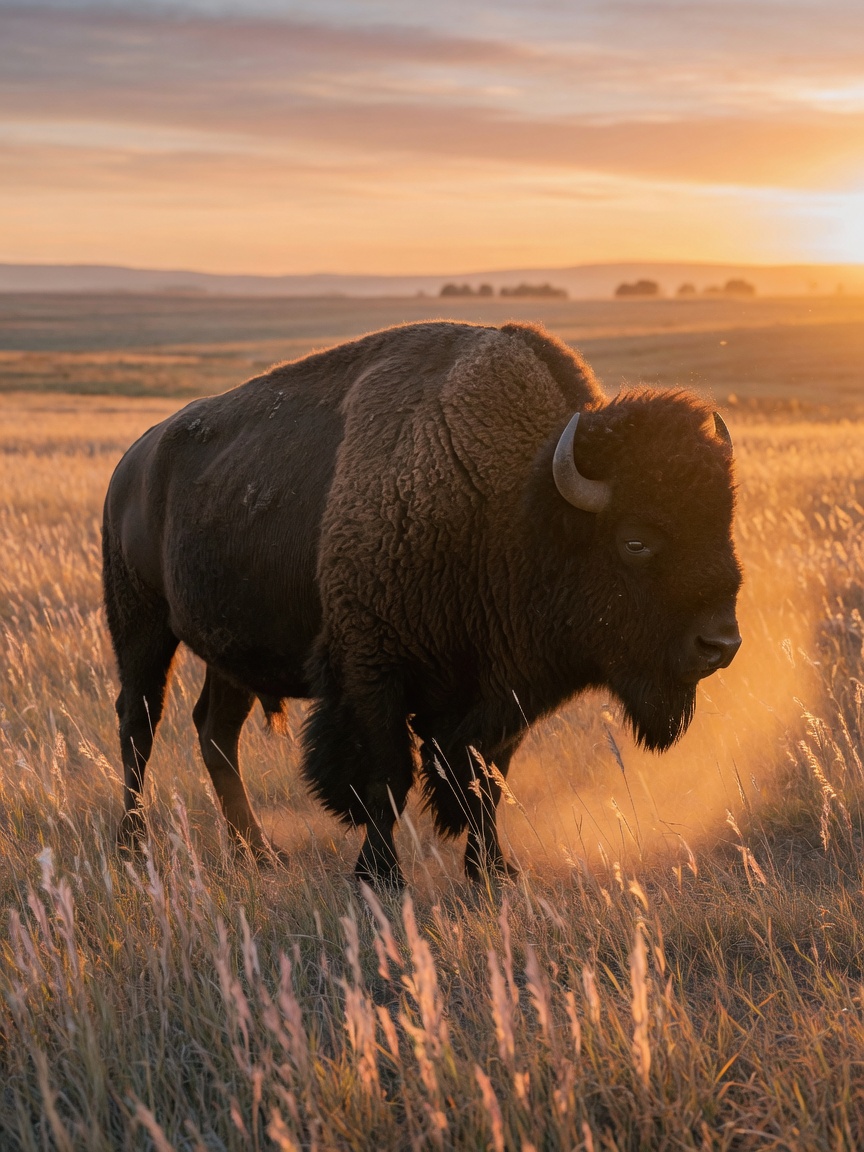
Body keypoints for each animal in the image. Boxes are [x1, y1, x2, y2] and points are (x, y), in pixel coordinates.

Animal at [102, 321, 742, 888]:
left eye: (723, 525)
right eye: (636, 541)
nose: (721, 644)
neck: (517, 505)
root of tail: (132, 462)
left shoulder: (500, 693)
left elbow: (485, 783)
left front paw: (493, 873)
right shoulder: (373, 675)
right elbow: (385, 780)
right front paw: (380, 878)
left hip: (228, 653)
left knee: (216, 732)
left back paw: (258, 854)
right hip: (141, 625)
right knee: (139, 722)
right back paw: (132, 845)